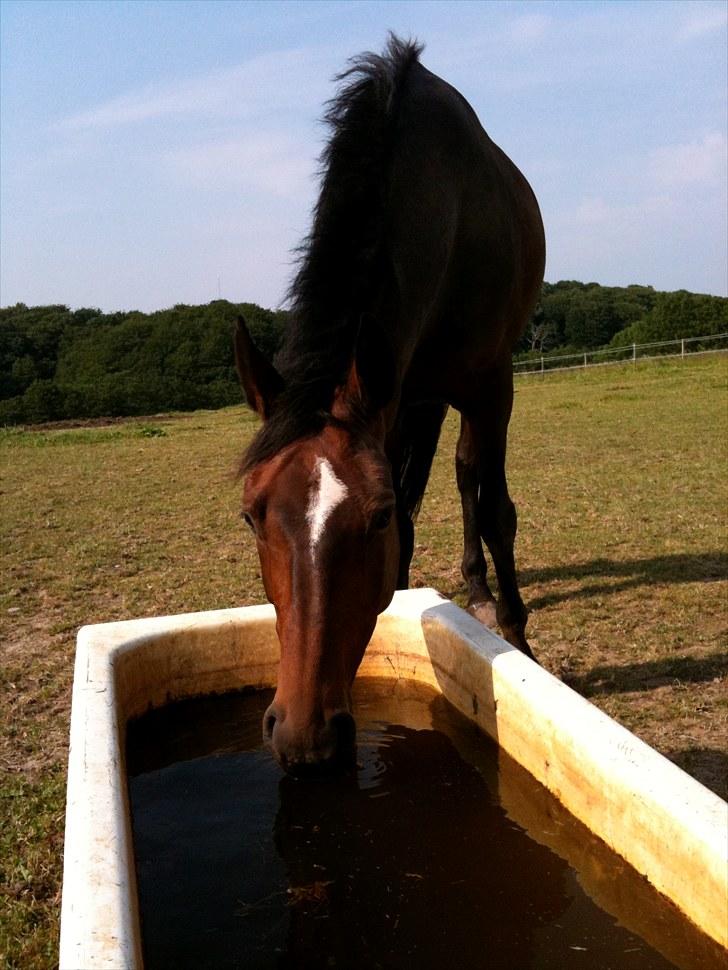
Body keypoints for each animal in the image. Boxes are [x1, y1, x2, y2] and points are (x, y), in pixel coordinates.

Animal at [236, 36, 544, 772]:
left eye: (369, 520)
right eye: (250, 516)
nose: (303, 734)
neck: (447, 212)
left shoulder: (493, 385)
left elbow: (491, 508)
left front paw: (517, 638)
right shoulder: (394, 394)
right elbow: (417, 502)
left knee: (468, 479)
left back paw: (485, 595)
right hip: (416, 397)